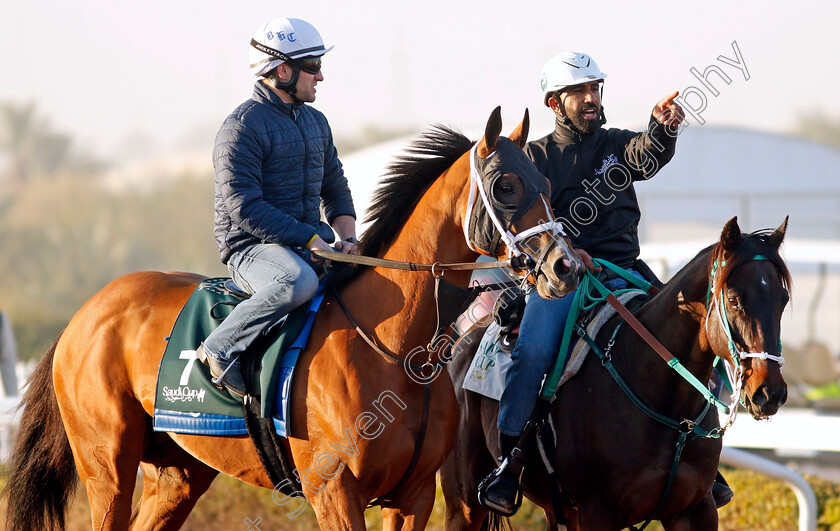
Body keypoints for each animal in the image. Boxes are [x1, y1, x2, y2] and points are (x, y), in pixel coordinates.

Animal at [3, 109, 584, 531]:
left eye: (545, 181)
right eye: (506, 185)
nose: (567, 266)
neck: (397, 352)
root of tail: (82, 316)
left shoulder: (414, 495)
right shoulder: (335, 493)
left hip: (177, 472)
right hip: (107, 468)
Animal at [442, 217, 792, 531]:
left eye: (784, 299)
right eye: (733, 299)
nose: (769, 393)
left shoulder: (694, 511)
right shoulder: (598, 513)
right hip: (464, 501)